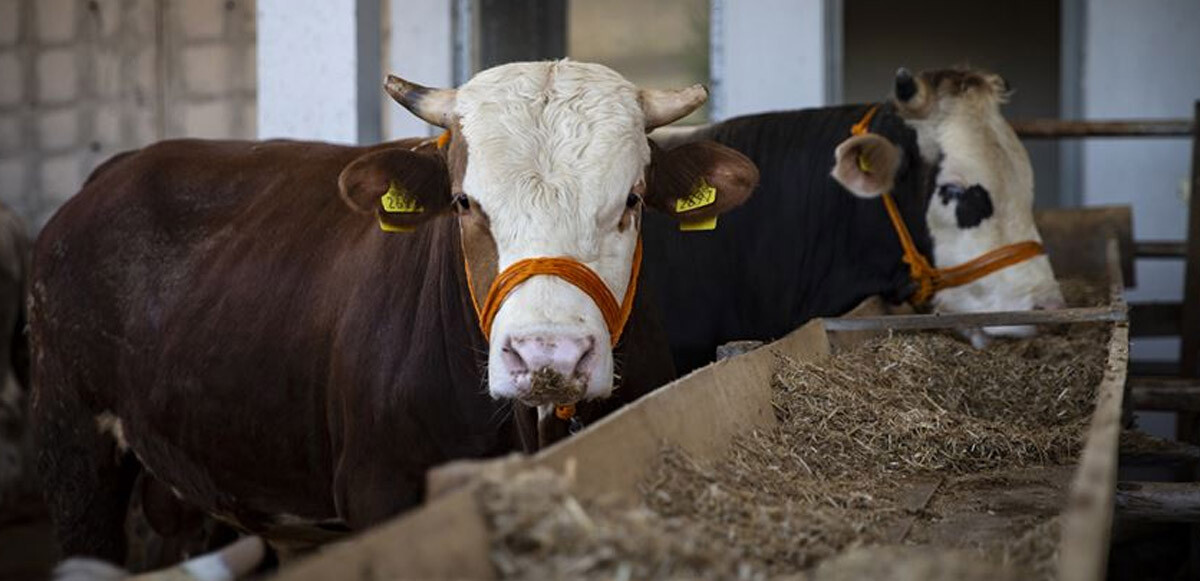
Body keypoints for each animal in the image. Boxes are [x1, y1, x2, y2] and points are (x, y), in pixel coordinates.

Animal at [32, 61, 758, 564]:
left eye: (632, 198)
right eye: (465, 202)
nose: (547, 354)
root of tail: (116, 170)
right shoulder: (379, 487)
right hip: (74, 453)